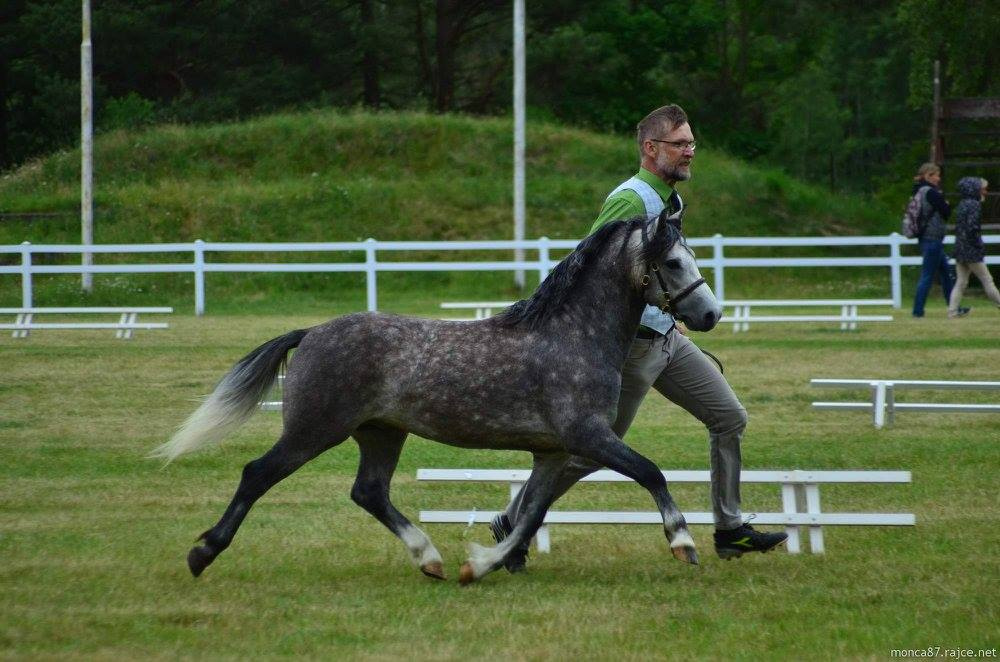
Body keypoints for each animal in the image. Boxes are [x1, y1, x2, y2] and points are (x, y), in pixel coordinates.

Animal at [153, 210, 722, 584]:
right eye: (674, 262)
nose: (710, 314)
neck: (571, 334)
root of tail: (311, 333)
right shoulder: (588, 436)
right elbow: (650, 472)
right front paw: (683, 543)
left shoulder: (553, 451)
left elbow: (530, 514)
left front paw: (482, 564)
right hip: (313, 431)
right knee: (257, 474)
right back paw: (203, 553)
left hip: (381, 434)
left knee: (369, 492)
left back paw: (429, 558)